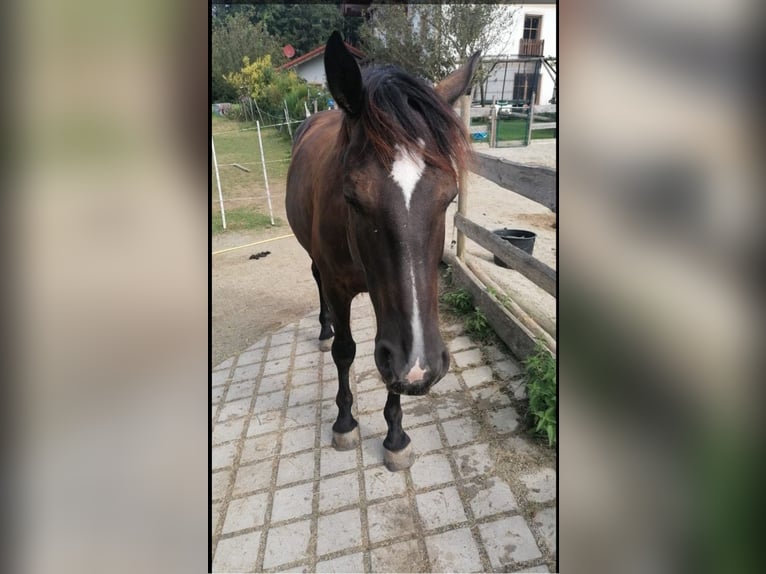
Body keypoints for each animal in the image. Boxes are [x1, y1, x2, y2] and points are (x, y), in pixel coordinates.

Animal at [286, 32, 480, 471]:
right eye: (353, 198)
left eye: (449, 197)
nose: (424, 366)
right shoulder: (340, 288)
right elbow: (345, 352)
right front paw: (344, 422)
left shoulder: (394, 311)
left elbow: (393, 371)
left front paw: (395, 435)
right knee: (316, 283)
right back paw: (323, 327)